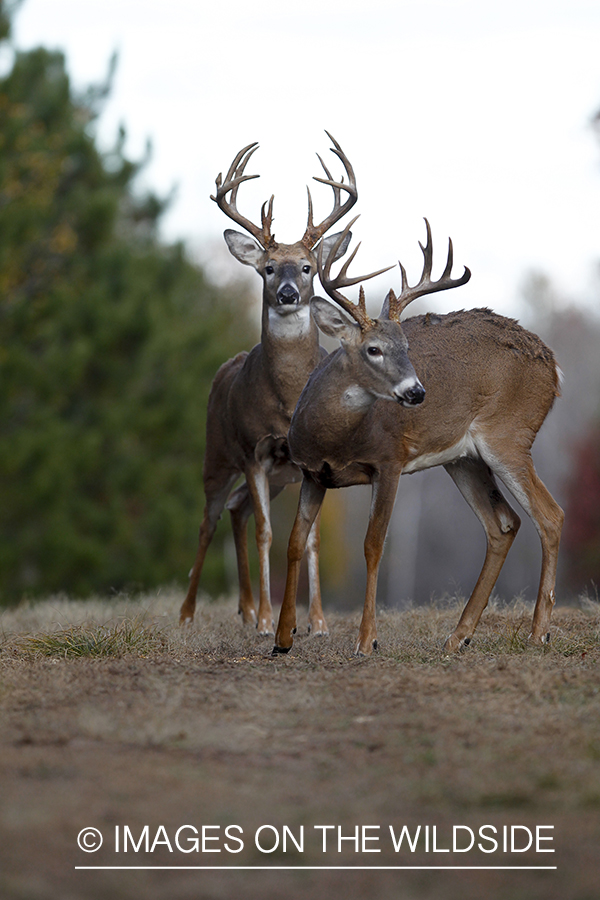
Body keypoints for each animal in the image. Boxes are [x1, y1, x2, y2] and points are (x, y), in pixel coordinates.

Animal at [179, 137, 390, 636]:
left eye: (309, 266)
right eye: (270, 267)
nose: (290, 294)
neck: (288, 397)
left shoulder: (307, 461)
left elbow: (309, 538)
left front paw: (316, 622)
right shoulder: (255, 452)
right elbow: (268, 533)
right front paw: (268, 621)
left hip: (276, 476)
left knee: (237, 508)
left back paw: (245, 607)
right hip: (218, 454)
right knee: (209, 519)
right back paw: (193, 612)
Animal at [272, 218, 564, 652]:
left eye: (408, 346)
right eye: (373, 349)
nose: (416, 392)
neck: (334, 438)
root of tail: (552, 364)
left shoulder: (389, 461)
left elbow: (373, 544)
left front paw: (367, 641)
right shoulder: (312, 473)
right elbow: (294, 541)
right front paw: (282, 638)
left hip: (509, 436)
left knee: (550, 515)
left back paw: (537, 631)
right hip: (463, 458)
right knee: (503, 524)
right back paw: (458, 636)